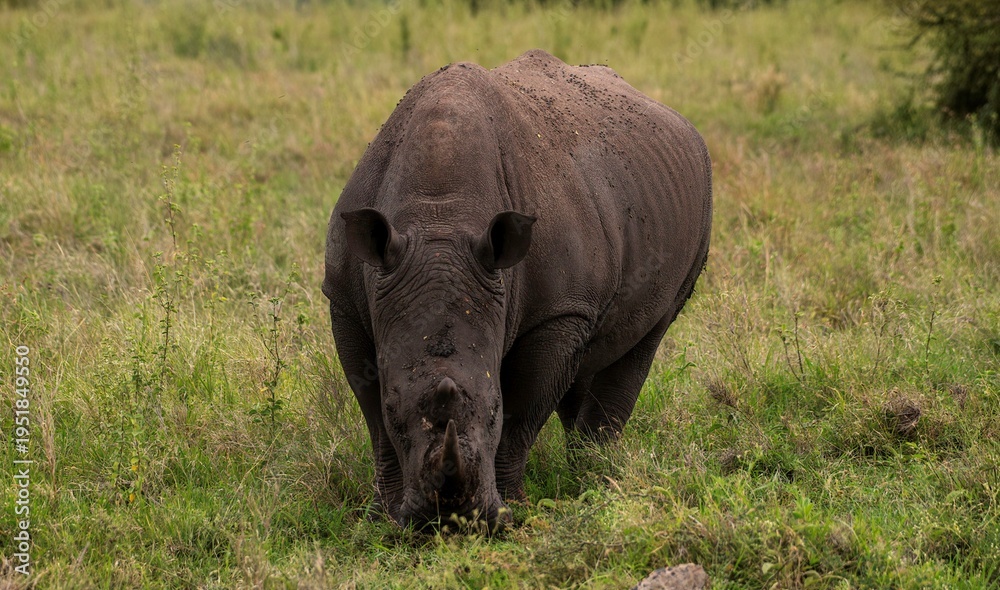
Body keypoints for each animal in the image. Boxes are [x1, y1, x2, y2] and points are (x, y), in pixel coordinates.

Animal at [323, 49, 712, 529]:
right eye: (398, 412)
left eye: (493, 411)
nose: (449, 523)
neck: (439, 218)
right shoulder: (346, 300)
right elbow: (374, 415)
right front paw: (383, 517)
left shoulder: (558, 311)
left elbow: (522, 414)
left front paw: (512, 508)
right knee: (589, 354)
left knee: (646, 338)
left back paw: (595, 478)